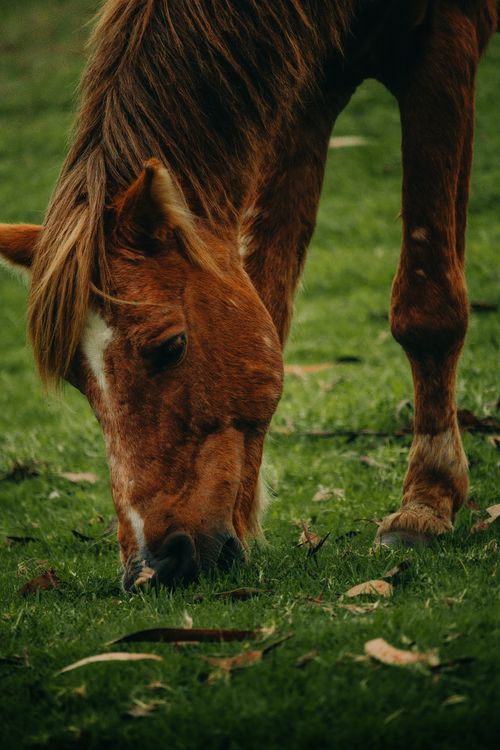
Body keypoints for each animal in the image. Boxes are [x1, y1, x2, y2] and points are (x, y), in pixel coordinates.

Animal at [0, 0, 497, 590]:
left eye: (171, 346)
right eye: (78, 380)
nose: (152, 569)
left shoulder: (444, 39)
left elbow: (429, 305)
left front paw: (427, 501)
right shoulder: (306, 85)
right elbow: (269, 295)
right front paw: (240, 518)